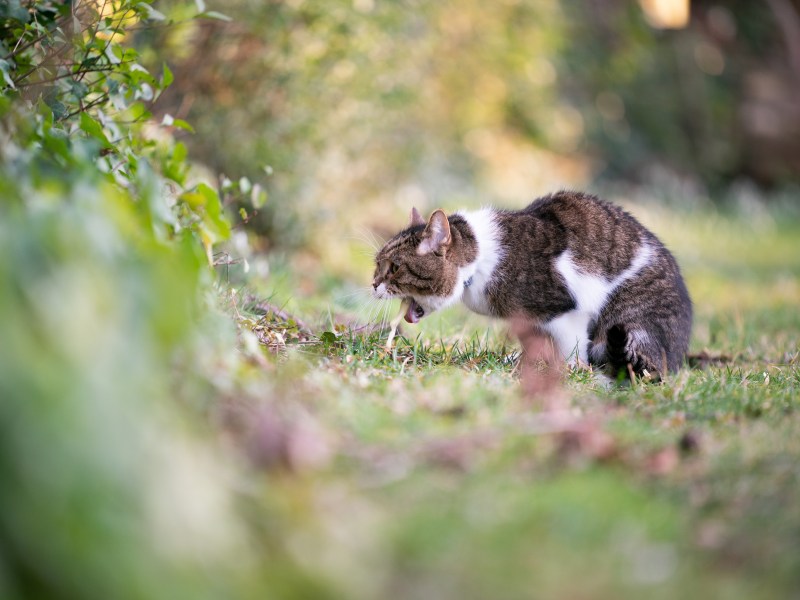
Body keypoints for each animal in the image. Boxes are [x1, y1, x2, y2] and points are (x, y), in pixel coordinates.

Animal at [376, 191, 692, 380]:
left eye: (394, 267)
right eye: (377, 264)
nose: (374, 284)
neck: (480, 260)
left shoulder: (565, 312)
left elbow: (571, 350)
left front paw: (567, 371)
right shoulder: (529, 321)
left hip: (630, 321)